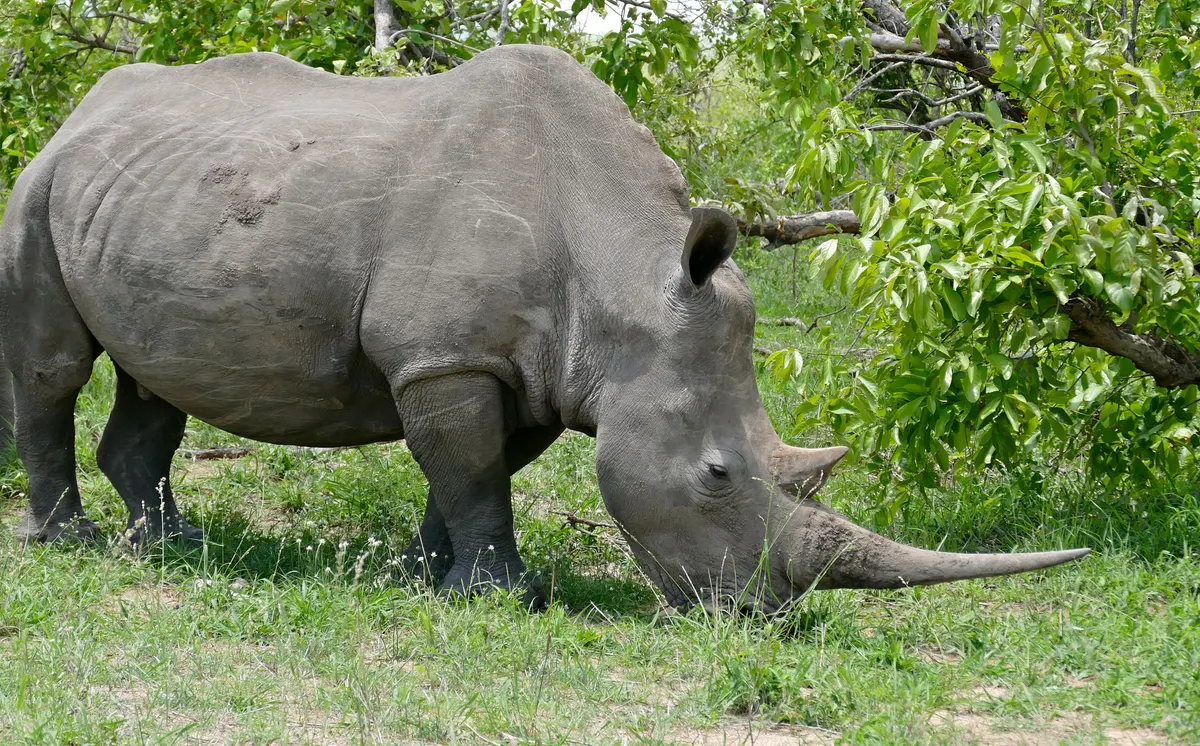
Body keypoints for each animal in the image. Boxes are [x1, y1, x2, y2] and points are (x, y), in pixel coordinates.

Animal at [0, 45, 1087, 611]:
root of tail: (80, 110)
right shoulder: (447, 358)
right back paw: (74, 543)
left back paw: (169, 542)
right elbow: (473, 472)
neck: (628, 273)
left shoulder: (528, 367)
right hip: (38, 185)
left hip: (147, 191)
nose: (760, 614)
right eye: (716, 475)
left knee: (154, 376)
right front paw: (500, 598)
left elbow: (471, 474)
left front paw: (427, 576)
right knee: (54, 368)